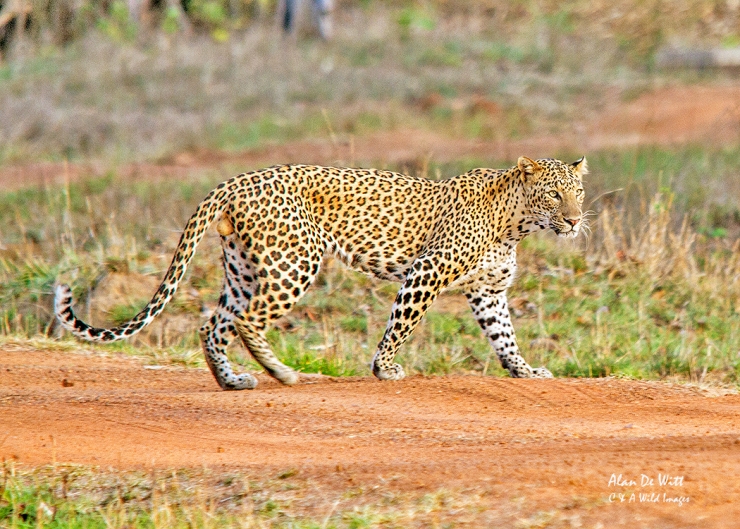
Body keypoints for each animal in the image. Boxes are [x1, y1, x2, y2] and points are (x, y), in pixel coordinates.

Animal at [55, 156, 587, 390]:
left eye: (576, 192)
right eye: (553, 194)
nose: (576, 220)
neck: (515, 223)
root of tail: (235, 180)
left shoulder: (489, 291)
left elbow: (505, 337)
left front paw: (526, 371)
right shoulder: (427, 271)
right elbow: (401, 325)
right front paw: (385, 368)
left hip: (245, 269)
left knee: (214, 325)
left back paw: (233, 381)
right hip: (296, 262)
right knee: (247, 321)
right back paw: (282, 373)